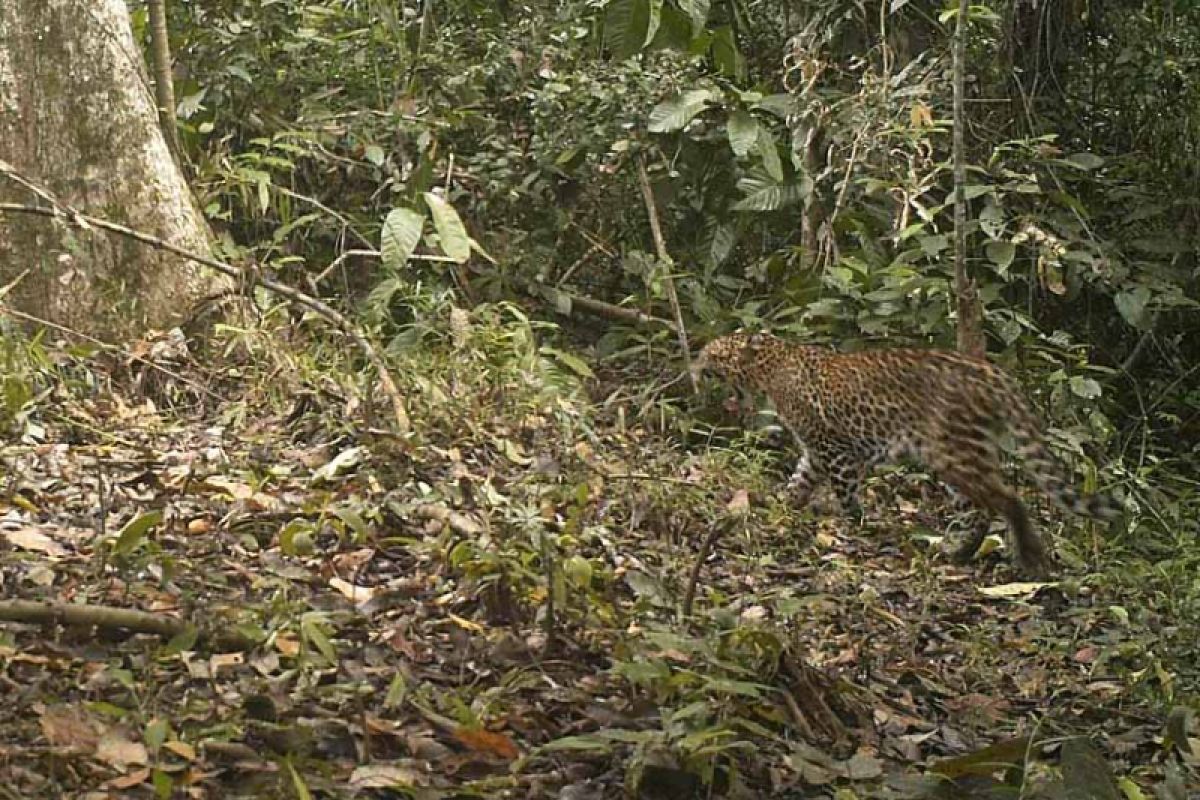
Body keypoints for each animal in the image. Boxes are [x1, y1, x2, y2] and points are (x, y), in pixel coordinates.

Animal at [691, 333, 1118, 575]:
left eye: (713, 353)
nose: (693, 363)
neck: (772, 365)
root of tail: (992, 372)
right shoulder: (816, 450)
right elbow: (800, 480)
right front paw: (781, 503)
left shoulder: (836, 448)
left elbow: (845, 491)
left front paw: (853, 522)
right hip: (959, 452)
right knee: (980, 509)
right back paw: (958, 552)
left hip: (954, 450)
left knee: (1005, 499)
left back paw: (1024, 555)